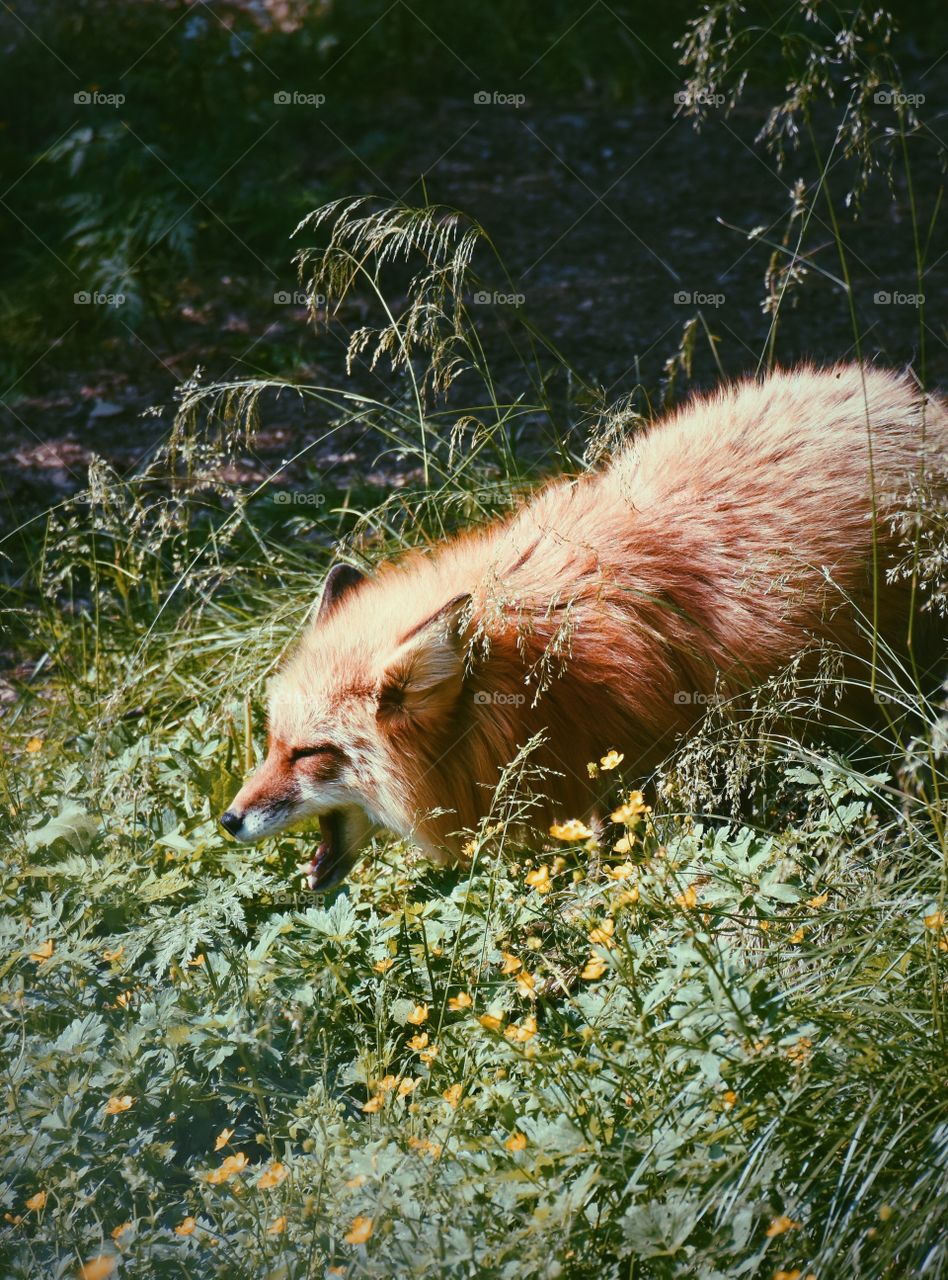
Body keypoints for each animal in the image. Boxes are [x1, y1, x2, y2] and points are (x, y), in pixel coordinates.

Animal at [221, 363, 948, 891]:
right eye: (270, 743)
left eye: (309, 754)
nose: (228, 820)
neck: (543, 666)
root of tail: (909, 395)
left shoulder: (641, 774)